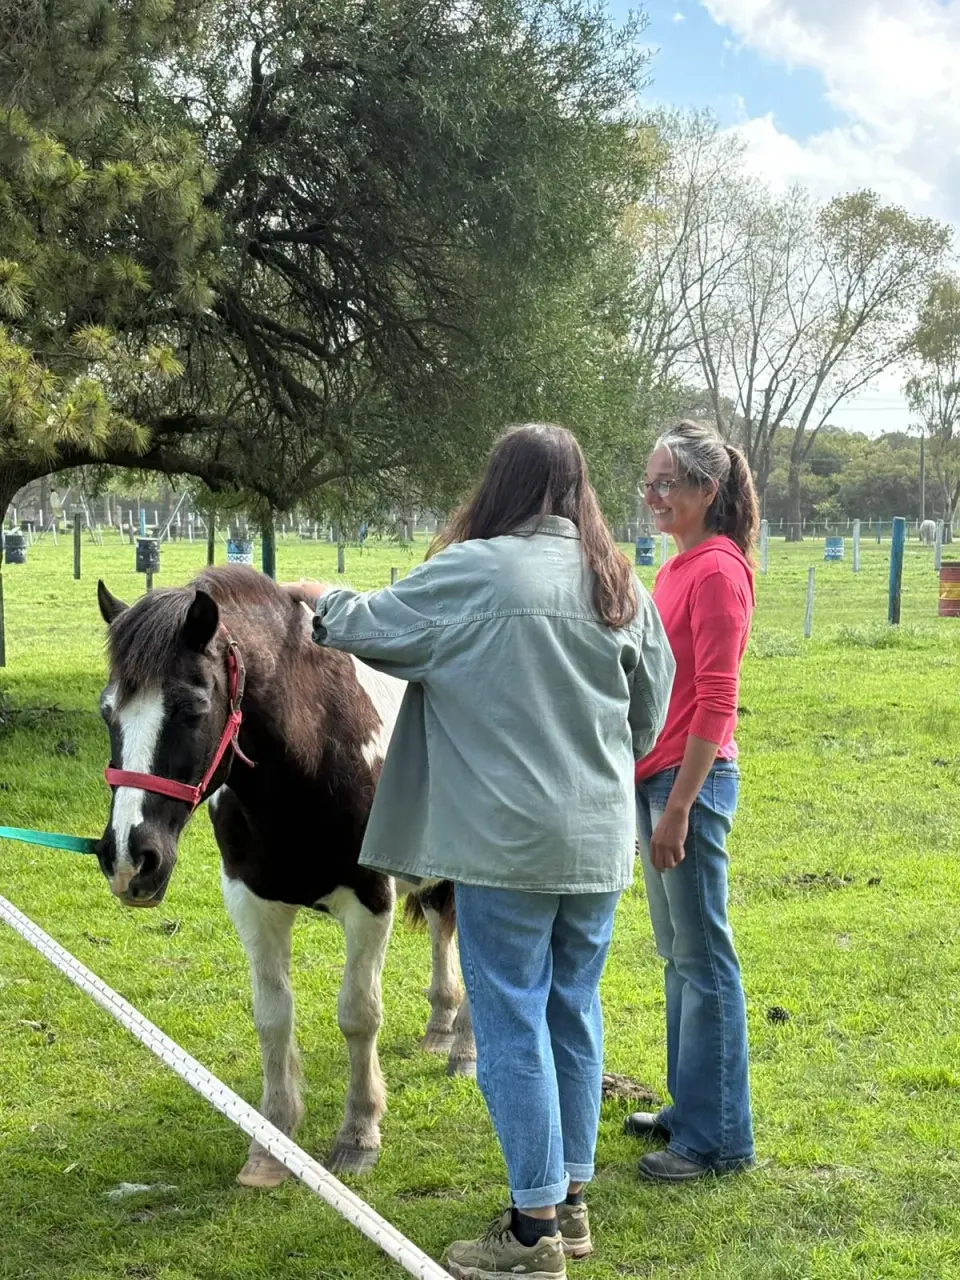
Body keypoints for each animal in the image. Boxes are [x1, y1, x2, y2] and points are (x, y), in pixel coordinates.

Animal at [93, 565, 476, 1187]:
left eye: (192, 707)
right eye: (109, 711)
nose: (130, 858)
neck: (313, 752)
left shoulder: (370, 905)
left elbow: (358, 1016)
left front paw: (359, 1133)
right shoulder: (253, 904)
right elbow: (272, 1018)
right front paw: (271, 1142)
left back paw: (464, 1047)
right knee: (444, 929)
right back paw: (441, 1024)